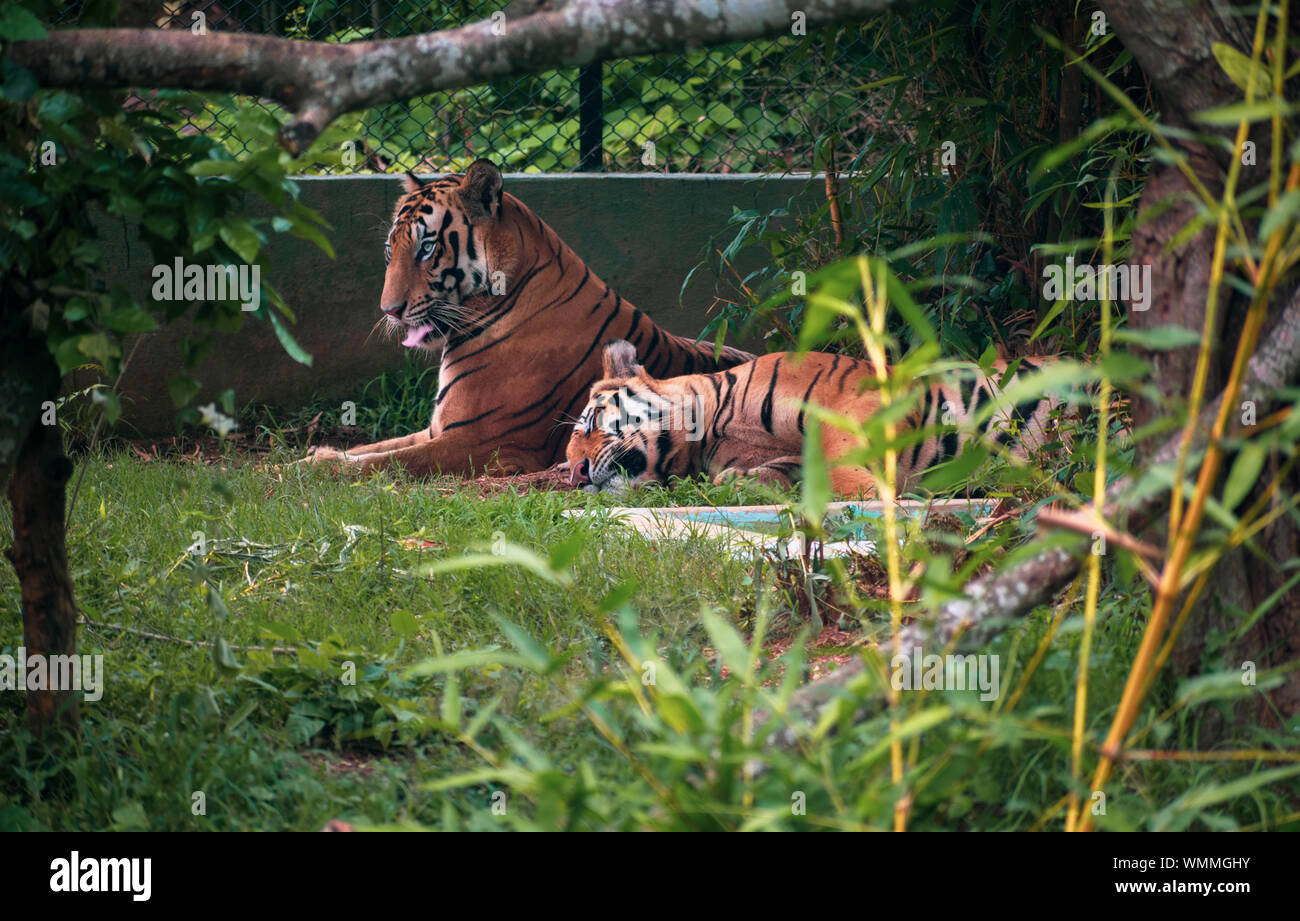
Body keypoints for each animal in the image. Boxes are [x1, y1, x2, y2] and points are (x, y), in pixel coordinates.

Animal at [304, 160, 754, 476]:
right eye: (389, 249)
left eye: (427, 248)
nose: (389, 311)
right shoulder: (437, 428)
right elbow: (371, 449)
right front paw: (308, 457)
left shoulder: (479, 441)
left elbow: (387, 463)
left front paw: (313, 469)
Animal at [566, 338, 1066, 496]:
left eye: (590, 422)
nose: (575, 473)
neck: (708, 432)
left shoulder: (856, 404)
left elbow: (840, 455)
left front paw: (867, 494)